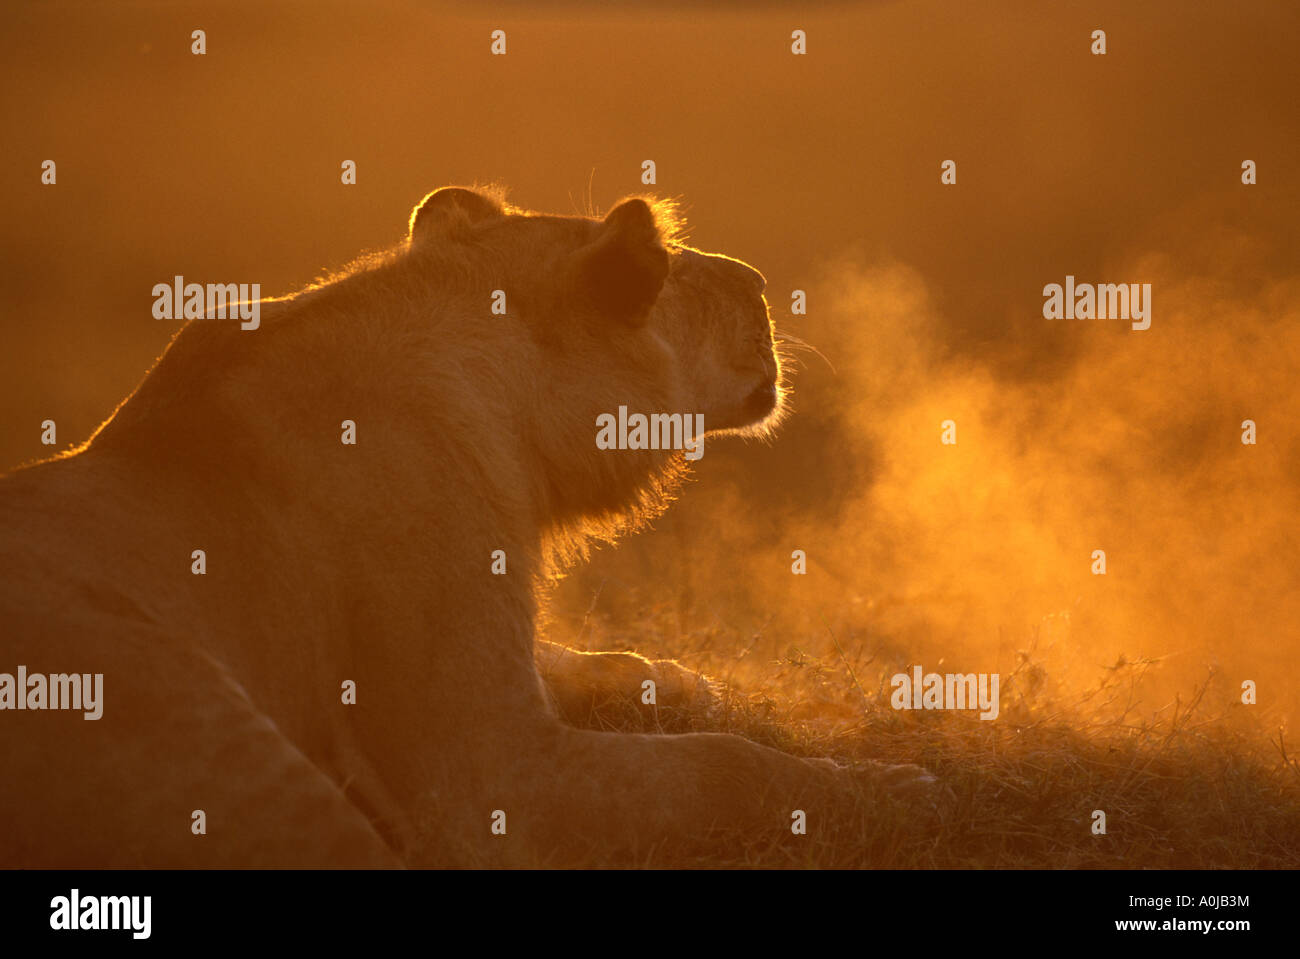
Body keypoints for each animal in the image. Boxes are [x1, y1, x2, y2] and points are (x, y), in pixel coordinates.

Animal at [0, 185, 932, 867]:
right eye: (678, 274)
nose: (763, 282)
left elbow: (595, 662)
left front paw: (687, 679)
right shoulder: (493, 773)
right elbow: (724, 766)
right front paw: (897, 787)